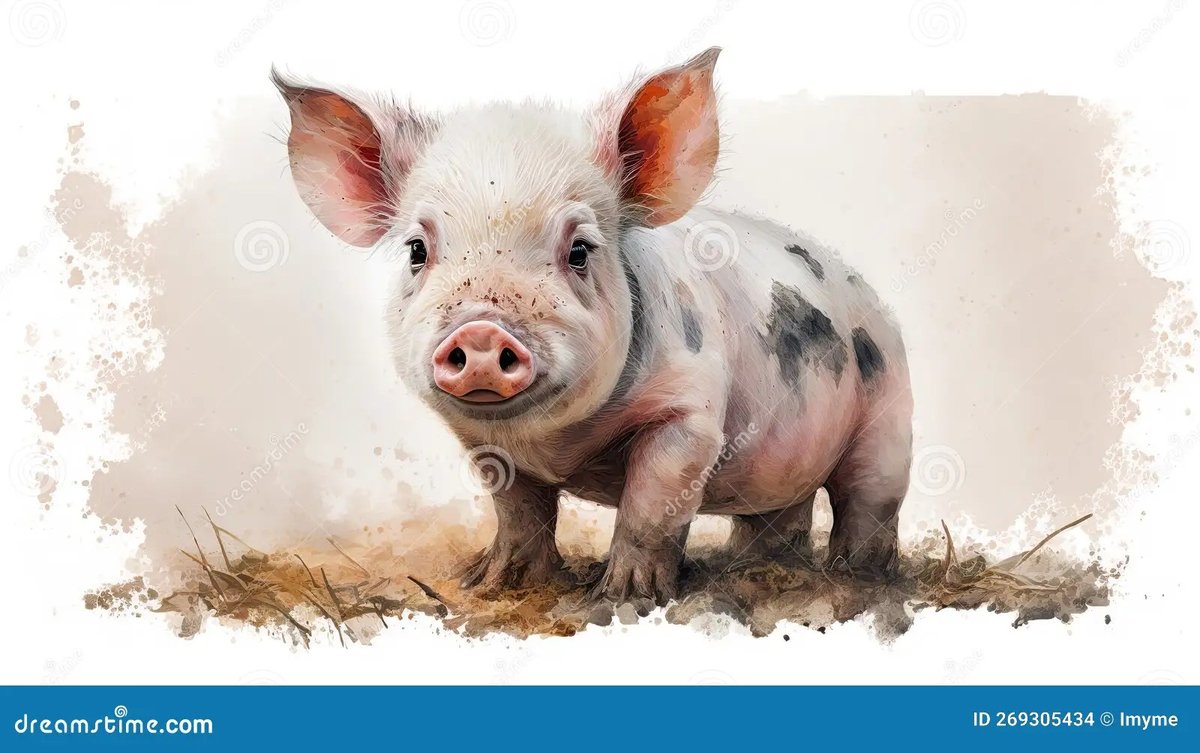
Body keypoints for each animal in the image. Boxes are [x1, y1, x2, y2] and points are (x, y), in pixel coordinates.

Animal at [272, 48, 913, 606]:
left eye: (580, 250)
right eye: (416, 250)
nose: (481, 333)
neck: (554, 441)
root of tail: (871, 294)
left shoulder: (690, 418)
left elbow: (651, 508)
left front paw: (621, 596)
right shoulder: (483, 441)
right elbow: (520, 510)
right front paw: (493, 582)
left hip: (889, 417)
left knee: (869, 500)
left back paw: (857, 577)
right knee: (777, 512)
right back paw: (756, 568)